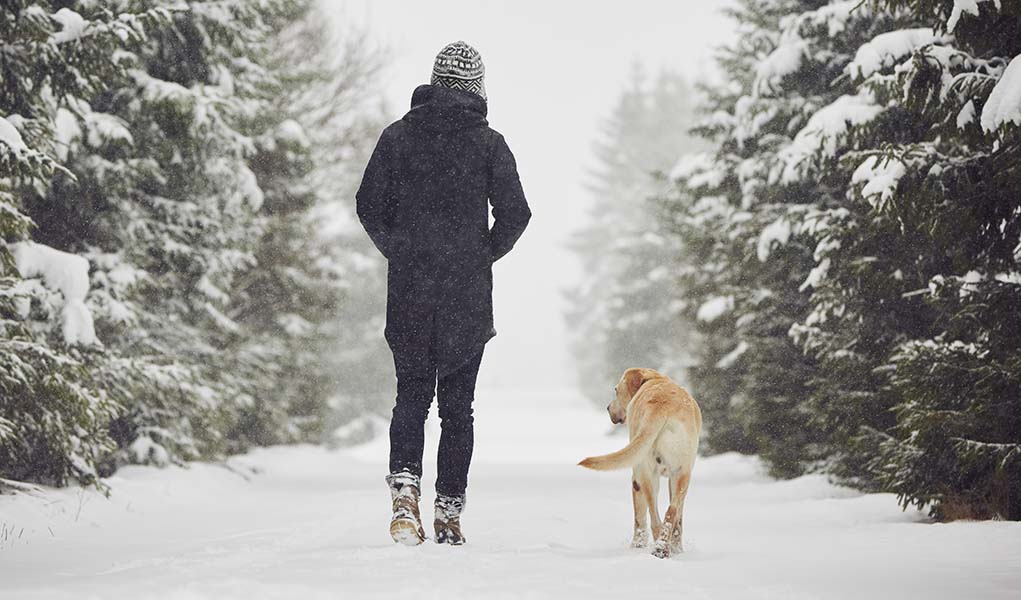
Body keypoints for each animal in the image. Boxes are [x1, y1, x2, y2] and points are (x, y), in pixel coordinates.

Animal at [584, 367, 702, 559]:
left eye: (616, 390)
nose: (607, 407)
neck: (654, 380)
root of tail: (662, 406)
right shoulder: (676, 478)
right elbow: (679, 519)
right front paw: (678, 549)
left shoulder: (636, 478)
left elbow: (639, 518)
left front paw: (637, 546)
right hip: (682, 473)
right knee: (671, 513)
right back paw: (664, 548)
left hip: (645, 474)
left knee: (654, 517)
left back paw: (658, 548)